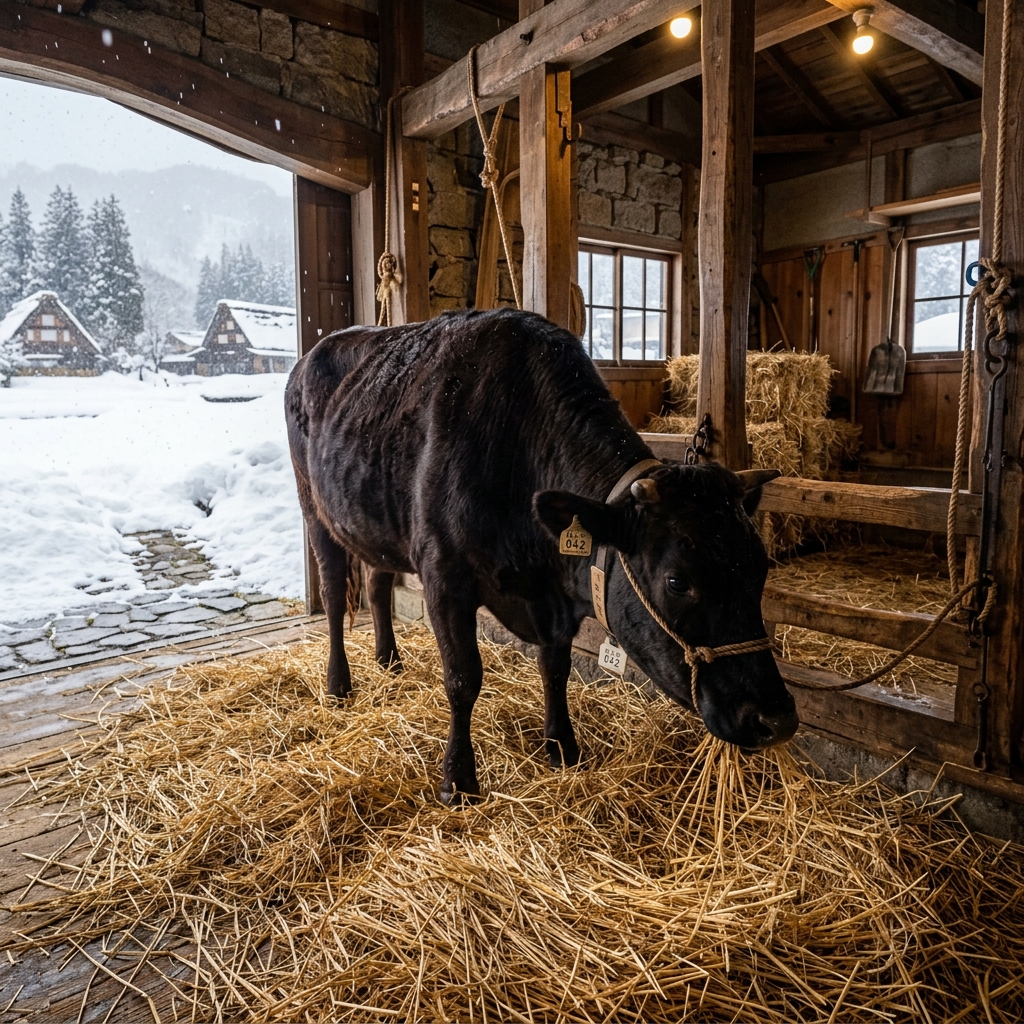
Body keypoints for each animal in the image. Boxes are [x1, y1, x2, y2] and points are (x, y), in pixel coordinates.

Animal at [286, 308, 798, 804]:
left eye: (761, 570)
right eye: (677, 581)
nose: (776, 720)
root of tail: (315, 352)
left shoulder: (553, 600)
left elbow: (555, 668)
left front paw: (562, 747)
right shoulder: (444, 574)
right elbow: (463, 678)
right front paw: (459, 780)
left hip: (372, 522)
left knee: (376, 582)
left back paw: (389, 660)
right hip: (314, 509)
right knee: (335, 596)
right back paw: (338, 686)